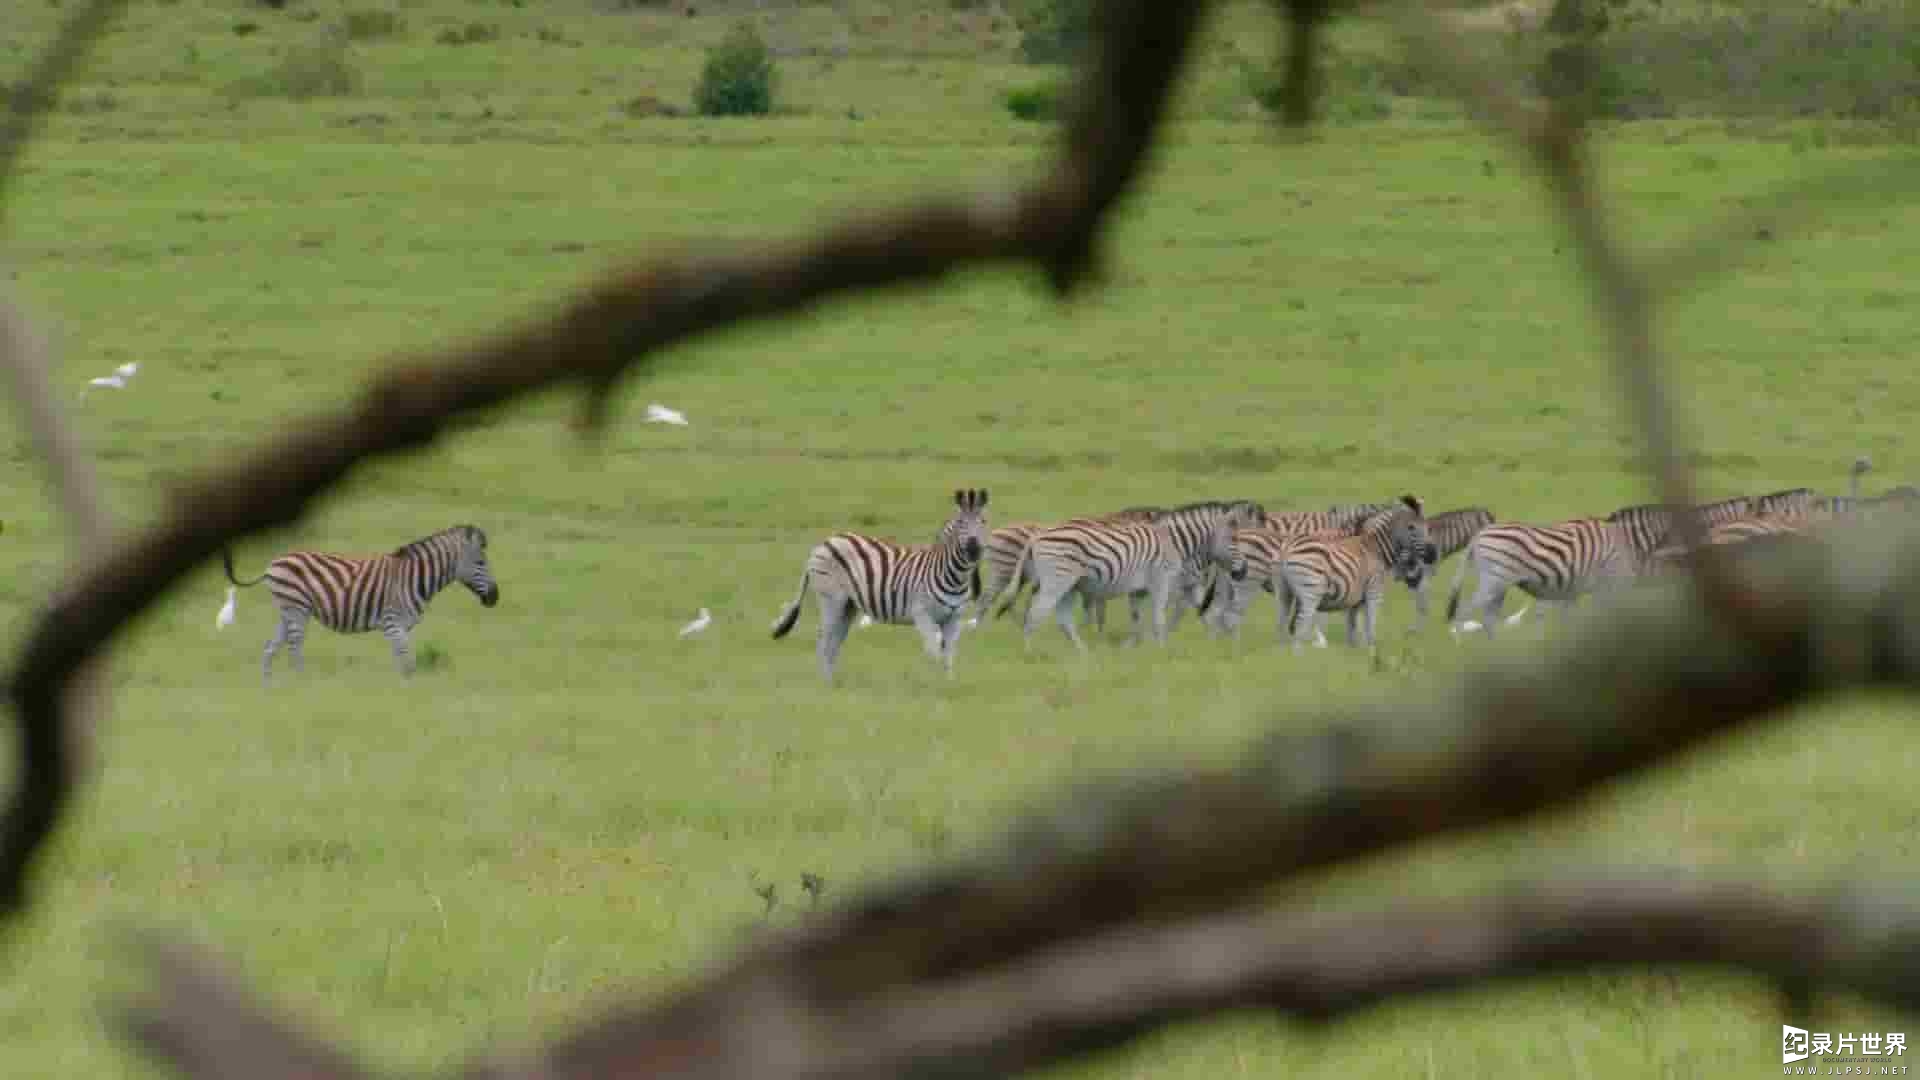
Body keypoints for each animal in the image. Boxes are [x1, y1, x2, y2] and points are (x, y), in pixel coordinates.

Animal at [220, 522, 499, 680]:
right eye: (481, 562)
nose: (495, 598)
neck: (415, 577)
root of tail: (272, 564)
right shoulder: (392, 623)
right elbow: (407, 660)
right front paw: (408, 693)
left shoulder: (402, 627)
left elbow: (405, 661)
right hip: (296, 608)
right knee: (294, 648)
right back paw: (301, 686)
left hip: (286, 611)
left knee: (270, 647)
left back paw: (270, 690)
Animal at [771, 488, 998, 680]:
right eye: (961, 522)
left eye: (983, 521)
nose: (974, 548)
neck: (954, 575)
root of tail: (824, 542)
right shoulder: (922, 613)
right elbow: (933, 651)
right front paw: (931, 687)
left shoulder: (954, 618)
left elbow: (949, 655)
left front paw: (947, 684)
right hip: (832, 599)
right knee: (823, 638)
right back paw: (824, 684)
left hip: (848, 605)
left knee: (834, 640)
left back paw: (832, 683)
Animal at [1013, 499, 1267, 657]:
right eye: (1235, 539)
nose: (1244, 571)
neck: (1174, 542)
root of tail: (1037, 536)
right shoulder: (1163, 581)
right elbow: (1160, 619)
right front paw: (1162, 651)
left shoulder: (1142, 590)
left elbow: (1139, 621)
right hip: (1057, 581)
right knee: (1035, 614)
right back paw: (1029, 654)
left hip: (1070, 586)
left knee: (1063, 620)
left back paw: (1083, 654)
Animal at [1267, 495, 1436, 653]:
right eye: (1411, 527)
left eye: (1427, 526)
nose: (1432, 554)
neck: (1376, 549)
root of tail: (1287, 547)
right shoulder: (1374, 591)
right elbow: (1370, 623)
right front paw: (1372, 650)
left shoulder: (1354, 600)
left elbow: (1352, 628)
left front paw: (1354, 651)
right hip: (1311, 592)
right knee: (1301, 623)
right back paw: (1299, 656)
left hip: (1284, 591)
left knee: (1282, 622)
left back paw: (1285, 655)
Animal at [1443, 511, 1643, 630]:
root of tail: (1478, 536)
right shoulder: (1608, 582)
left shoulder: (1575, 587)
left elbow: (1570, 617)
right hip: (1494, 581)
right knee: (1465, 612)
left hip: (1498, 585)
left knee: (1488, 620)